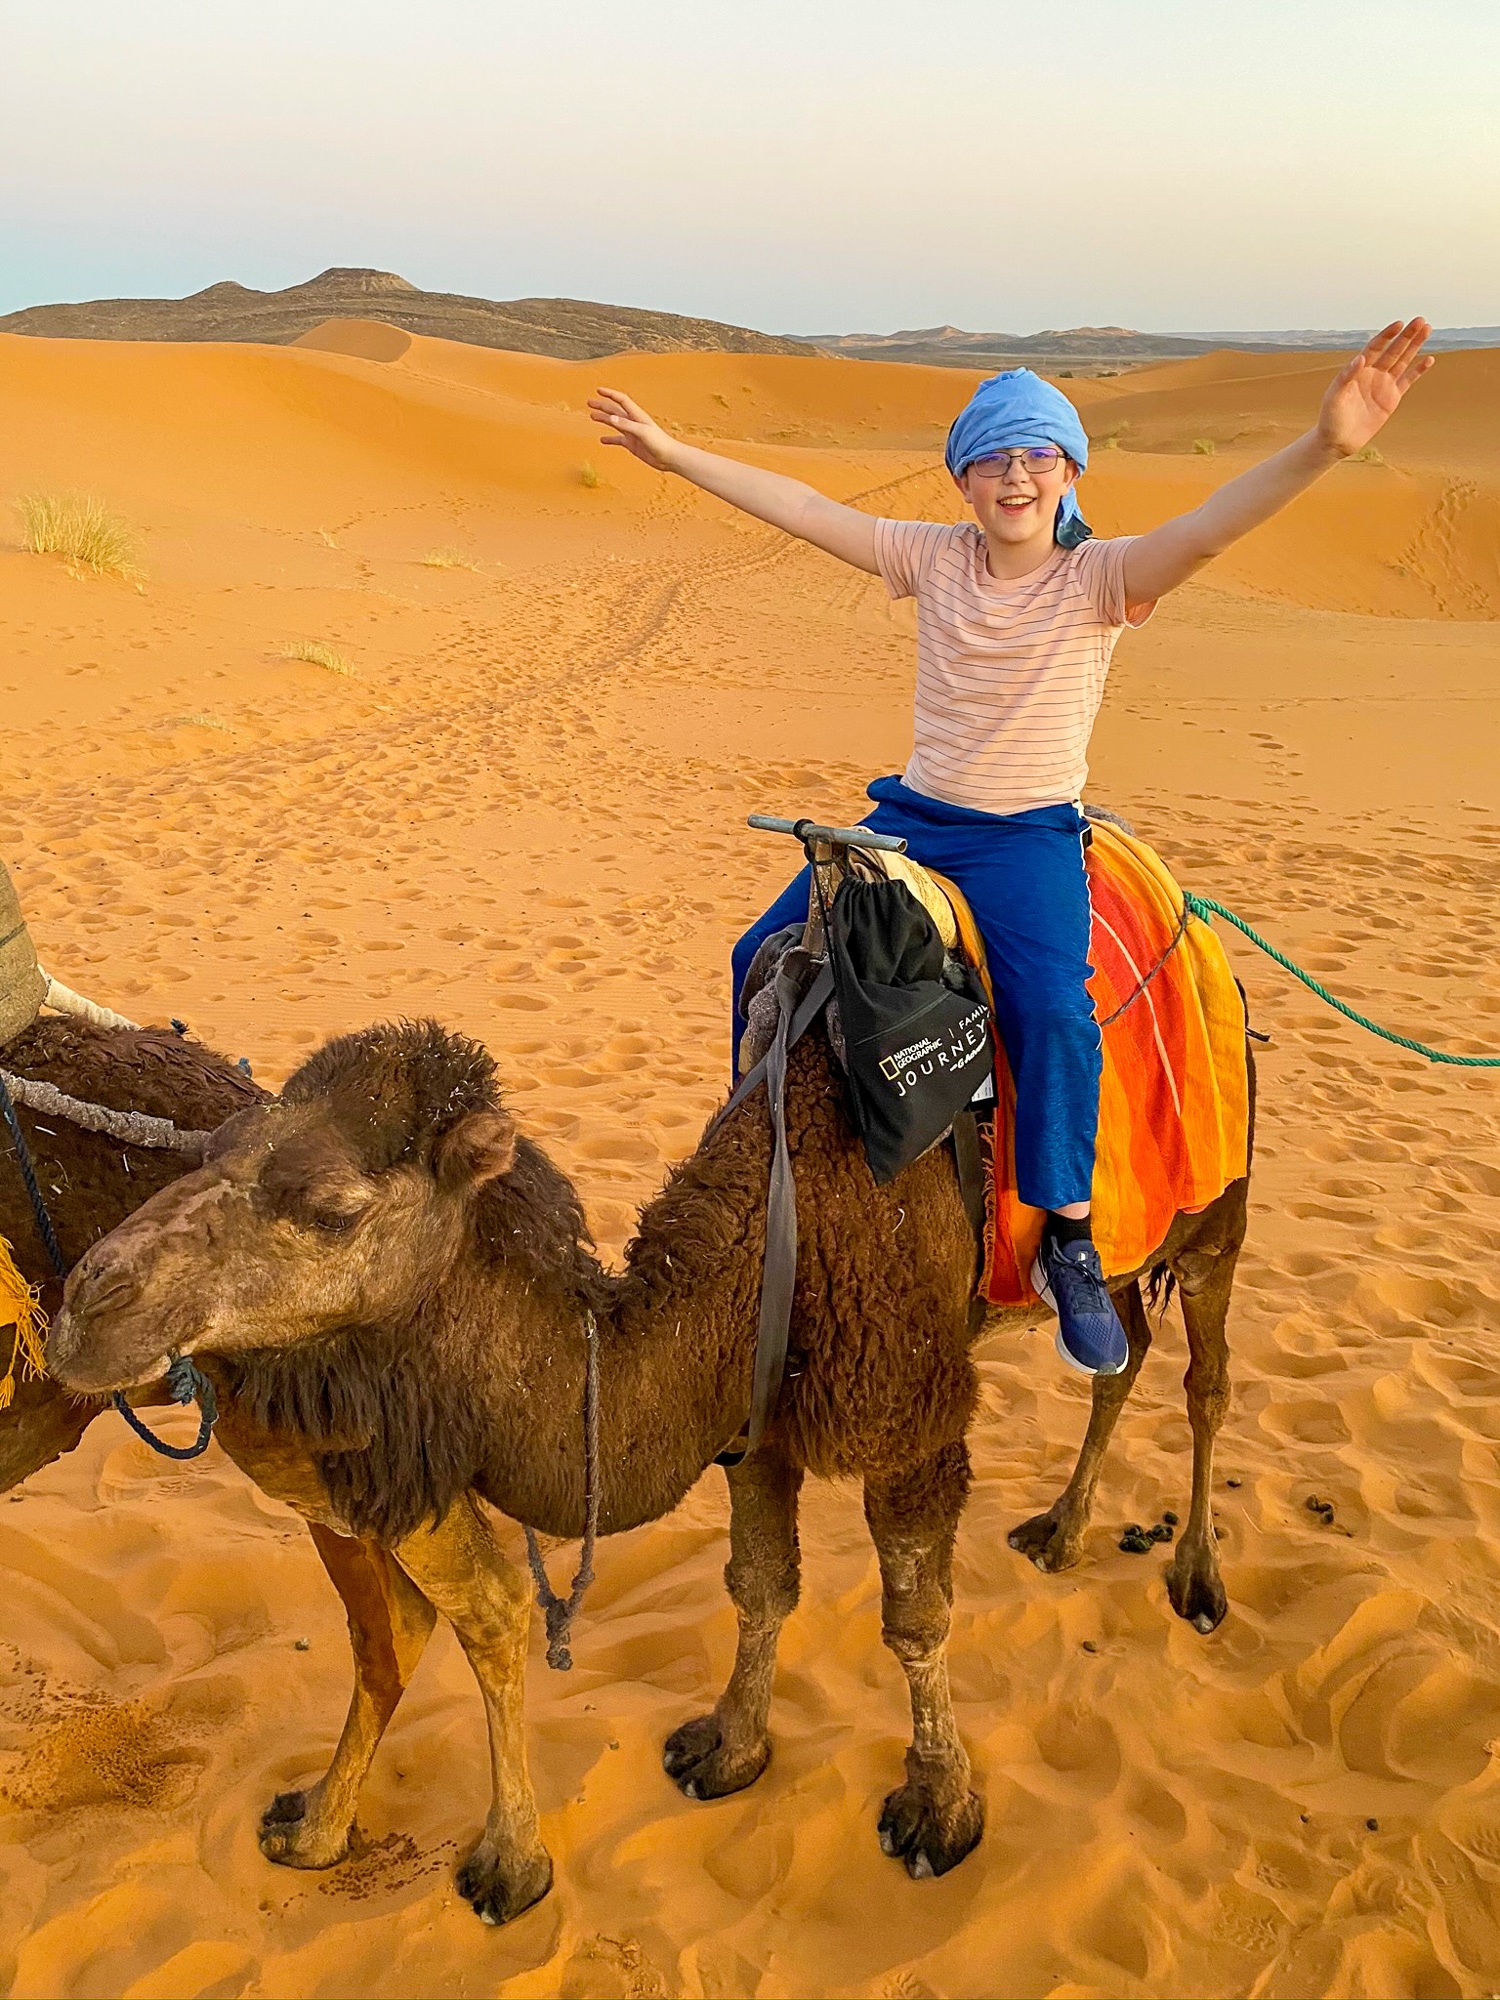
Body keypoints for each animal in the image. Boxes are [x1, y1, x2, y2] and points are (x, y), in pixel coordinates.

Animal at [50, 1000, 1256, 1920]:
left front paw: (939, 1810)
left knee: (1206, 1379)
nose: (85, 1306)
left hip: (1217, 1212)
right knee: (1121, 1352)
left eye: (333, 1206)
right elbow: (760, 1583)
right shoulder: (757, 1423)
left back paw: (1197, 1578)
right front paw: (729, 1750)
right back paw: (1059, 1530)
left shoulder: (910, 1418)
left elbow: (914, 1618)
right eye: (206, 1152)